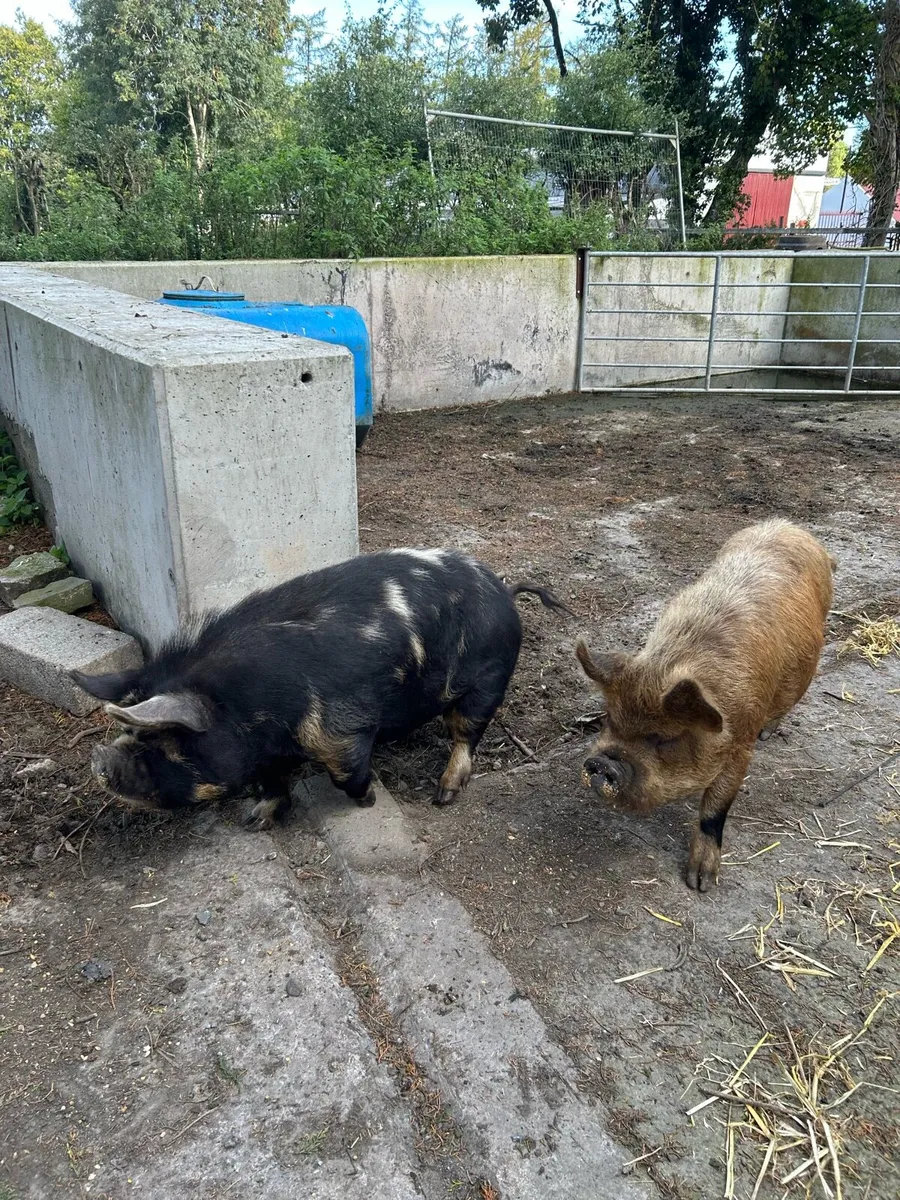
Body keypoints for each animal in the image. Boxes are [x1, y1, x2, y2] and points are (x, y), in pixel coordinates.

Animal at [73, 549, 570, 828]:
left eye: (164, 739)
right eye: (126, 729)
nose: (99, 759)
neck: (252, 710)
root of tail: (504, 590)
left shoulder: (340, 730)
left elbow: (345, 772)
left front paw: (368, 800)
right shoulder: (263, 755)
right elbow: (270, 784)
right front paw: (254, 822)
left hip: (487, 681)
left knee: (466, 735)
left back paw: (444, 795)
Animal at [575, 519, 835, 893]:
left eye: (665, 738)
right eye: (610, 718)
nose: (602, 762)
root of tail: (793, 529)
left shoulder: (741, 740)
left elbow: (715, 808)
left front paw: (700, 884)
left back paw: (771, 732)